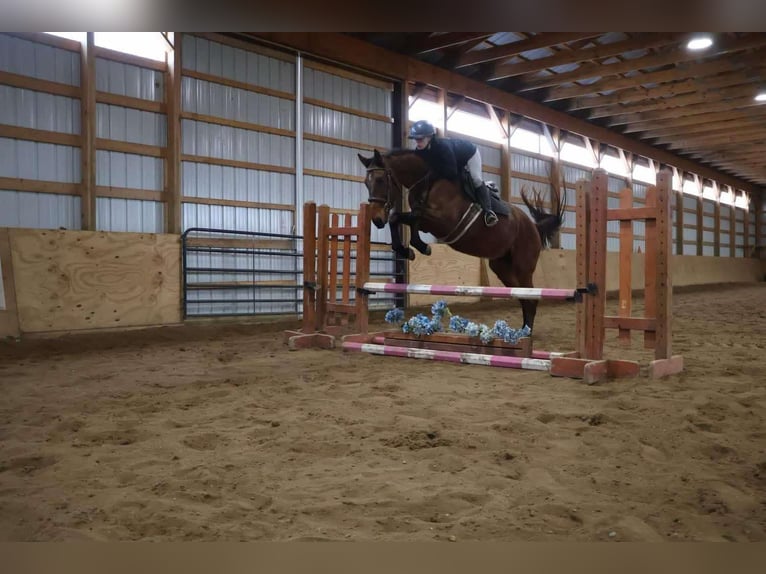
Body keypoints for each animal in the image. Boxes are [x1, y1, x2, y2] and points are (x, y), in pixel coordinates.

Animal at [357, 148, 566, 332]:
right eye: (366, 183)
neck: (427, 181)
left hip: (523, 266)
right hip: (501, 267)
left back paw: (526, 333)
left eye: (381, 180)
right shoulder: (426, 221)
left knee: (531, 297)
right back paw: (523, 331)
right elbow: (400, 218)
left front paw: (421, 247)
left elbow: (413, 215)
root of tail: (534, 227)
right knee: (522, 296)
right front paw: (408, 250)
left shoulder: (443, 222)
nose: (377, 220)